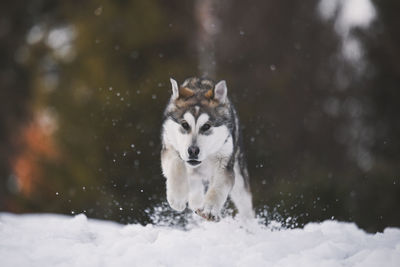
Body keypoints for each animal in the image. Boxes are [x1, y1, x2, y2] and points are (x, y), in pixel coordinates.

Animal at [160, 77, 252, 222]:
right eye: (184, 124)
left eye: (206, 126)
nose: (193, 151)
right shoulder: (169, 147)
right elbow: (177, 165)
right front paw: (177, 197)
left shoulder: (224, 161)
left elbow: (219, 187)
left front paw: (209, 210)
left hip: (239, 176)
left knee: (245, 203)